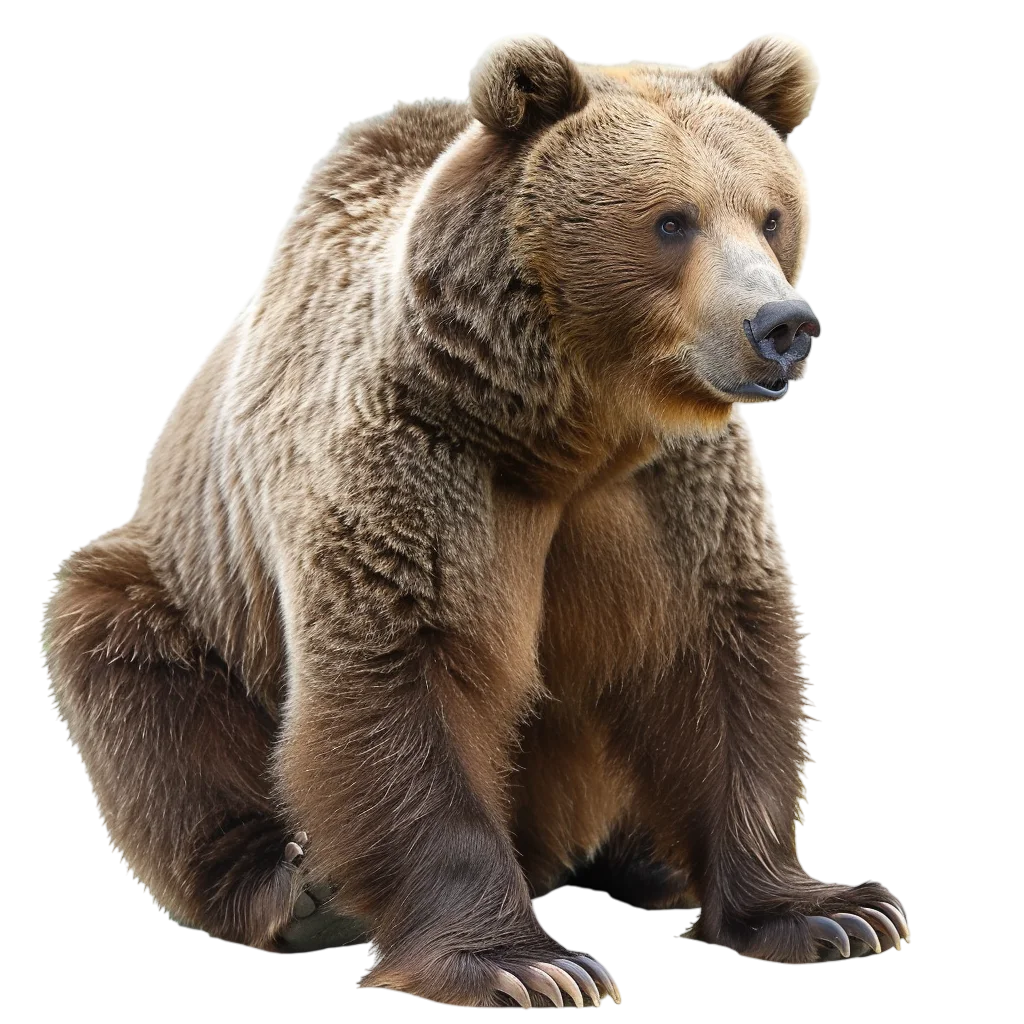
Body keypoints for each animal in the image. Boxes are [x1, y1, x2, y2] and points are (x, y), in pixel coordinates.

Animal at [43, 32, 908, 1006]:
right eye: (672, 220)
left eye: (770, 214)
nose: (783, 325)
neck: (565, 433)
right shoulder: (420, 462)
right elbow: (406, 670)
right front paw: (528, 965)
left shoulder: (667, 493)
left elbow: (718, 660)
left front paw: (836, 911)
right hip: (183, 587)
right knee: (144, 685)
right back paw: (291, 889)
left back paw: (646, 861)